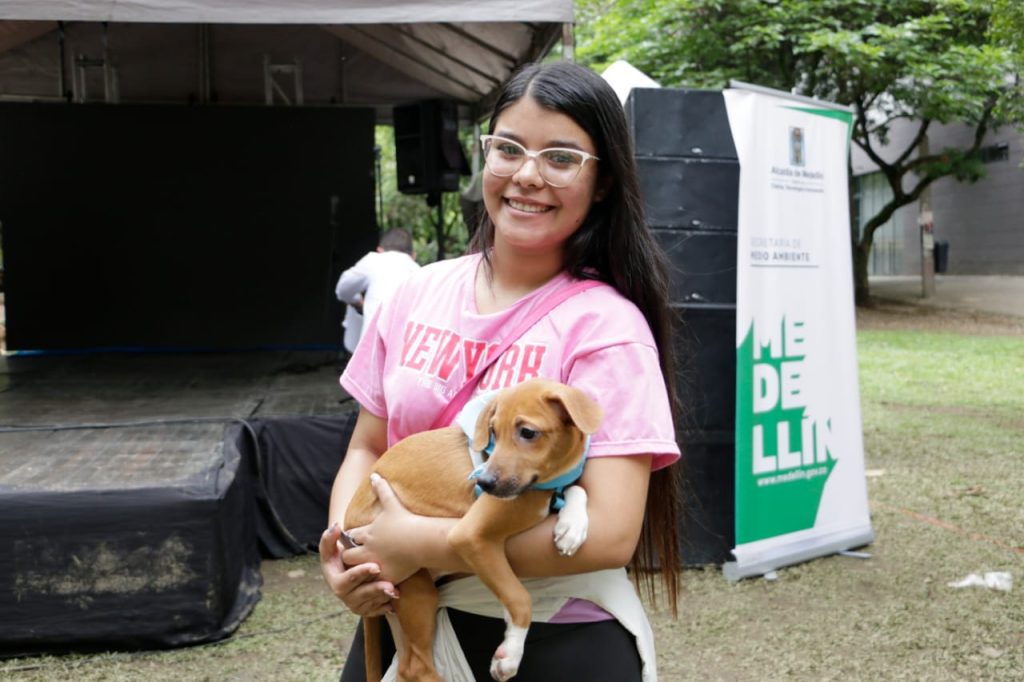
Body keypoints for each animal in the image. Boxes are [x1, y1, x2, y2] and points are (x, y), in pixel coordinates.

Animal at [346, 376, 598, 679]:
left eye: (527, 432)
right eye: (493, 432)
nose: (483, 483)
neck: (544, 486)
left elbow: (578, 489)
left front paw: (572, 527)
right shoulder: (471, 537)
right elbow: (520, 598)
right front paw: (510, 655)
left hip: (404, 598)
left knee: (407, 665)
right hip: (416, 589)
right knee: (417, 667)